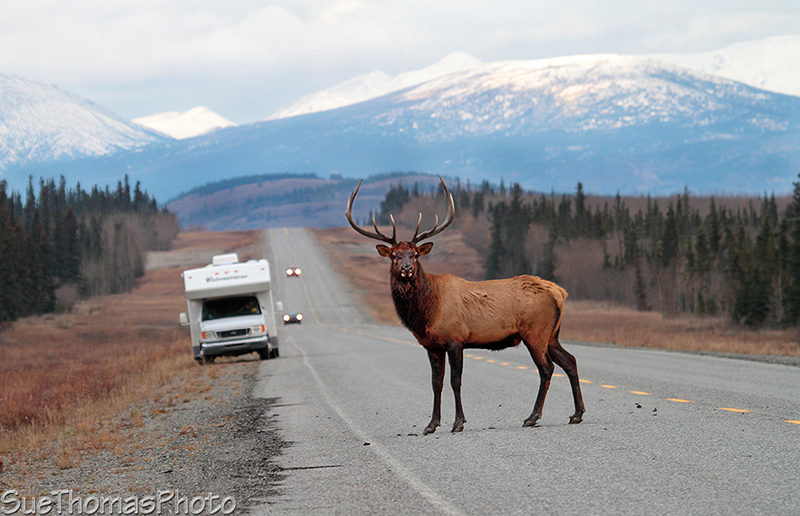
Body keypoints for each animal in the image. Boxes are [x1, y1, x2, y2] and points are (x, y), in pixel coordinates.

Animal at [346, 176, 585, 435]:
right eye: (394, 255)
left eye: (415, 254)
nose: (406, 268)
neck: (427, 312)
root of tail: (560, 292)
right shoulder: (432, 345)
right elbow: (436, 383)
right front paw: (431, 424)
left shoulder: (455, 338)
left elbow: (455, 381)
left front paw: (458, 422)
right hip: (552, 334)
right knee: (570, 361)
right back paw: (577, 414)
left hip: (535, 331)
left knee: (547, 368)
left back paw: (532, 417)